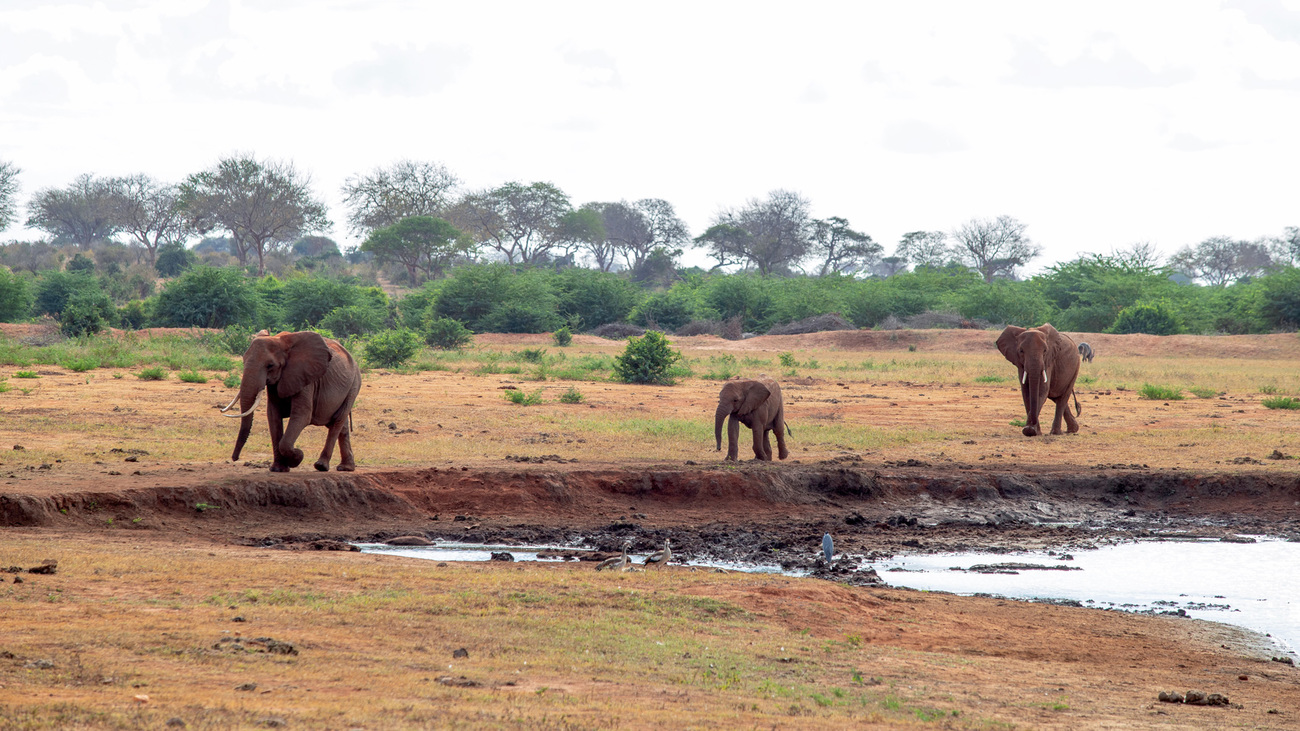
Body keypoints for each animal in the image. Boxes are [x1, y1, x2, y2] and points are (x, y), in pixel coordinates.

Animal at [223, 330, 364, 473]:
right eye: (243, 361)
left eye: (270, 365)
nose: (235, 458)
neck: (281, 341)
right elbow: (273, 416)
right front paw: (278, 469)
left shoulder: (305, 377)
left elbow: (302, 416)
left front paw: (297, 457)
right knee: (343, 426)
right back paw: (346, 468)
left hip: (354, 386)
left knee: (337, 421)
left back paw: (321, 466)